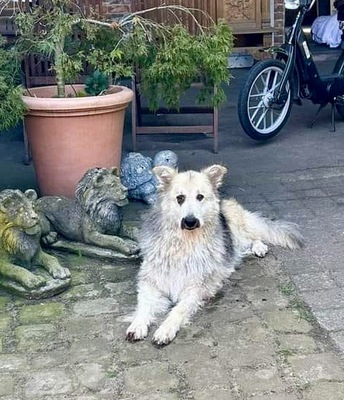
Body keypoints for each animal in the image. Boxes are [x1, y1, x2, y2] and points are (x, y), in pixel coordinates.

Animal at [125, 164, 300, 346]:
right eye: (180, 198)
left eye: (200, 197)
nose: (190, 221)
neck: (185, 241)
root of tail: (225, 201)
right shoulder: (150, 282)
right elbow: (144, 305)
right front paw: (137, 324)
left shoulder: (195, 288)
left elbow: (178, 310)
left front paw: (166, 328)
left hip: (237, 230)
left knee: (254, 236)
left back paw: (259, 247)